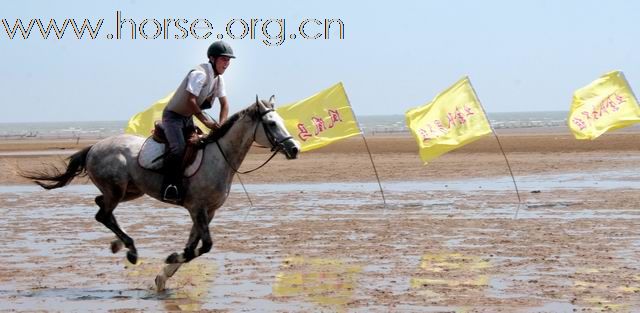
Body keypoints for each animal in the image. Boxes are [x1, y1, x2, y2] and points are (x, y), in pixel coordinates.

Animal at [19, 95, 300, 290]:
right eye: (271, 123)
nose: (294, 149)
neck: (219, 158)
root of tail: (94, 147)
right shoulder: (197, 209)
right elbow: (204, 246)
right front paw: (169, 260)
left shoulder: (207, 212)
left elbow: (193, 246)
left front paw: (163, 276)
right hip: (117, 189)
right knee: (103, 214)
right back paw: (130, 250)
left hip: (131, 191)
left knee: (101, 207)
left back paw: (119, 244)